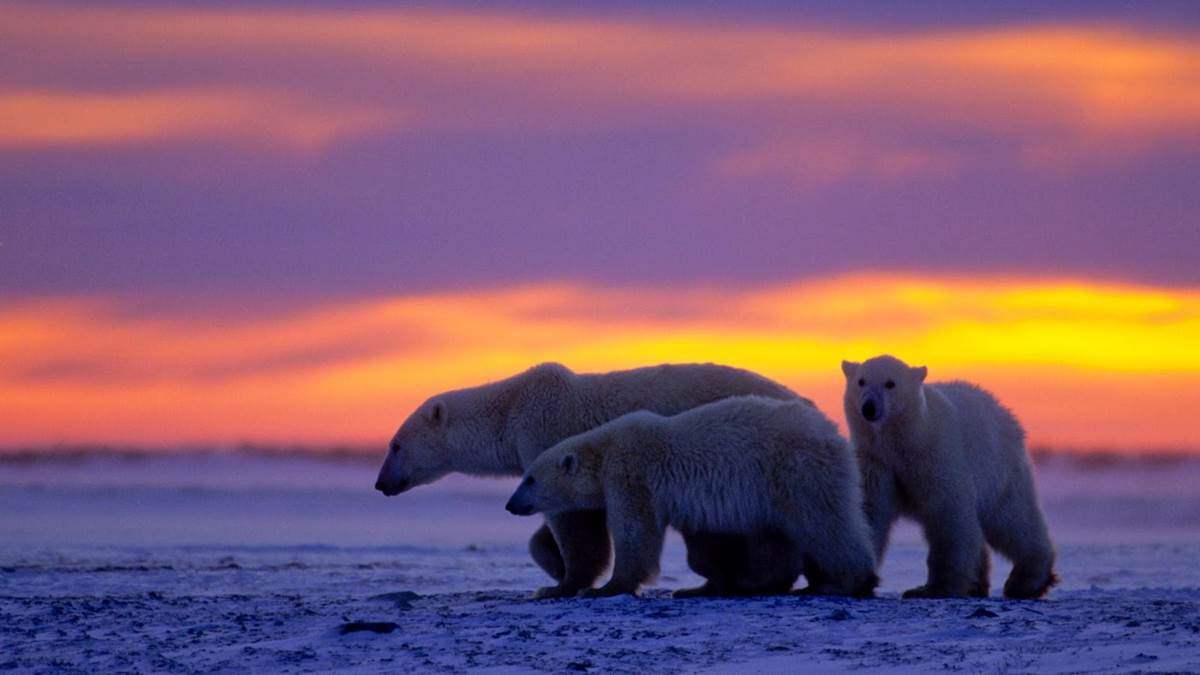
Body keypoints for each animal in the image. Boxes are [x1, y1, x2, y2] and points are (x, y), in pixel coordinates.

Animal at [375, 362, 809, 598]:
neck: (511, 411)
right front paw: (551, 565)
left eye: (395, 445)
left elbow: (575, 520)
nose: (380, 484)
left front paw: (561, 584)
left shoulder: (547, 433)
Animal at [503, 395, 880, 599]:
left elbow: (635, 531)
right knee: (778, 534)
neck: (605, 449)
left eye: (529, 478)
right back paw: (759, 582)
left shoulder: (630, 473)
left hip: (796, 469)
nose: (510, 504)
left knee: (825, 522)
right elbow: (704, 542)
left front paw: (604, 587)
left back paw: (846, 582)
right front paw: (702, 584)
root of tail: (833, 433)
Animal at [840, 355, 1058, 599]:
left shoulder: (934, 454)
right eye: (861, 381)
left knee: (1012, 518)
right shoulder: (876, 460)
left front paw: (932, 588)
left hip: (999, 467)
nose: (869, 407)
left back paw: (1027, 581)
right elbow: (869, 510)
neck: (903, 440)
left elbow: (948, 514)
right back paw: (976, 585)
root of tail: (1004, 411)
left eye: (890, 383)